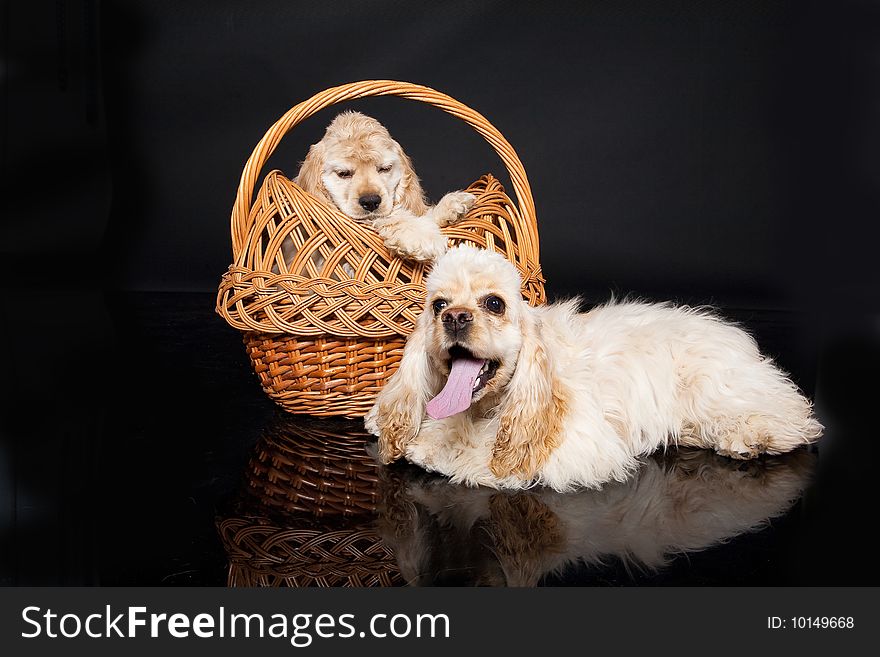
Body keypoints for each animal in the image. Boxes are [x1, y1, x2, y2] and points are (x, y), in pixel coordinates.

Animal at [366, 243, 824, 490]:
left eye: (494, 303)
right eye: (438, 304)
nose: (456, 317)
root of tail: (732, 333)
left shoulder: (580, 446)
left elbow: (477, 452)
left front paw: (436, 448)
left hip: (716, 389)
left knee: (791, 416)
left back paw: (750, 437)